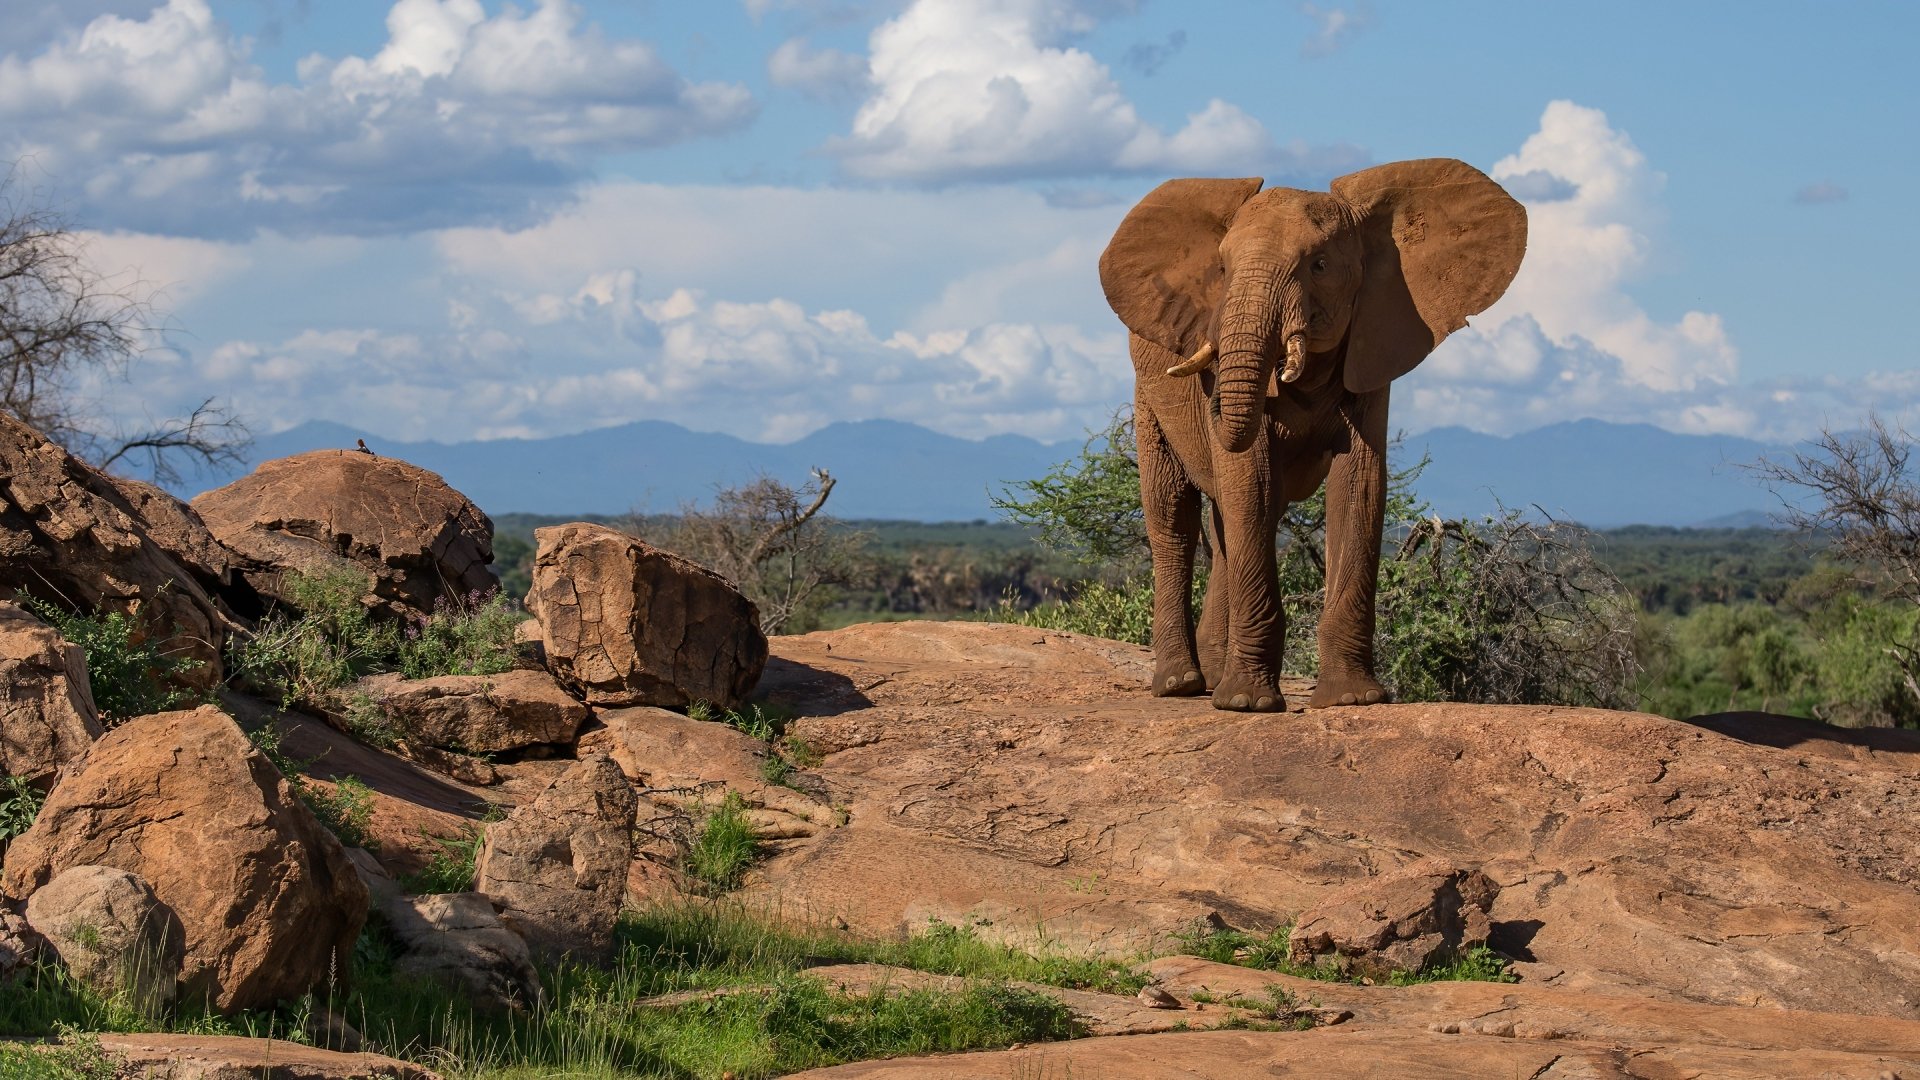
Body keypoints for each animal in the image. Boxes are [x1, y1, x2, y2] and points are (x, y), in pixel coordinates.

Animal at [1097, 158, 1526, 712]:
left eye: (1319, 266)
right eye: (1221, 269)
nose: (1210, 393)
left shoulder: (1373, 348)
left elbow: (1358, 483)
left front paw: (1352, 700)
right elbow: (1251, 478)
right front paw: (1250, 705)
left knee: (1224, 520)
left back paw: (1213, 678)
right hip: (1147, 398)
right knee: (1175, 515)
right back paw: (1181, 685)